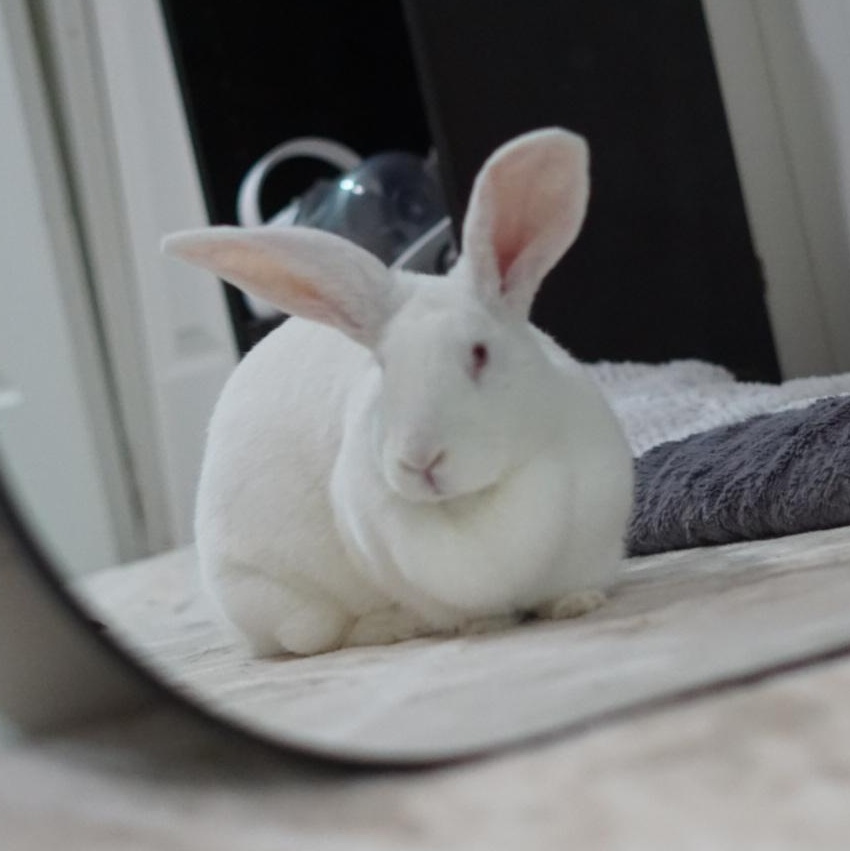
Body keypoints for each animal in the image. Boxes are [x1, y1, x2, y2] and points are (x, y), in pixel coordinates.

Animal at [162, 128, 634, 657]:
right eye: (384, 368)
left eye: (479, 354)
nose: (420, 461)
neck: (472, 503)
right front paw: (482, 624)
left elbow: (570, 589)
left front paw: (577, 604)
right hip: (273, 597)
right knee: (315, 635)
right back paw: (388, 626)